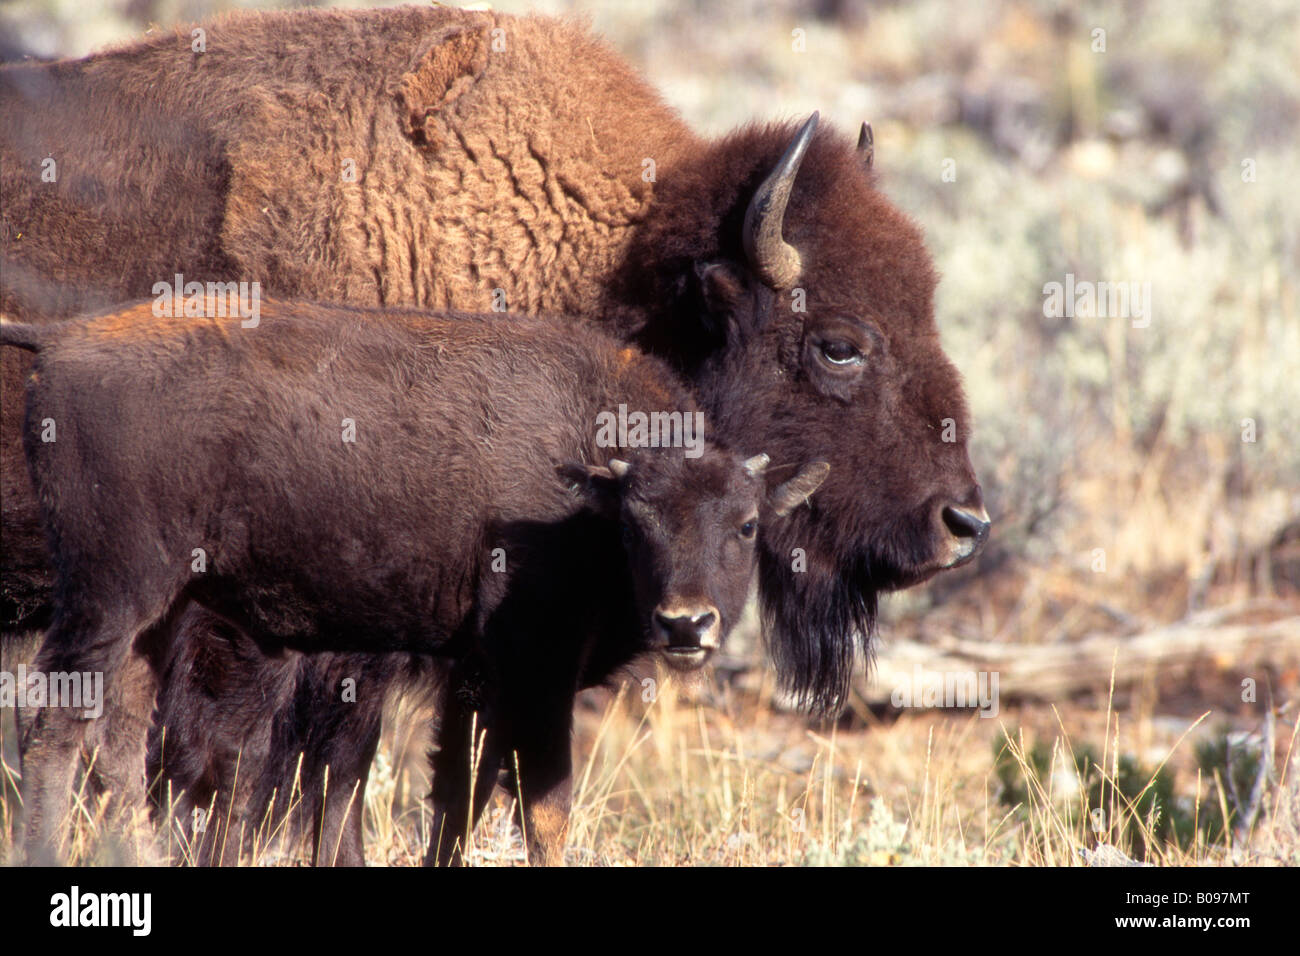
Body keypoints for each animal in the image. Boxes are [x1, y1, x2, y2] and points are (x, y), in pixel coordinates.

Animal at [2, 300, 832, 868]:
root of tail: (63, 338)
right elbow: (544, 805)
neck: (587, 474)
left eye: (747, 525)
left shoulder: (480, 679)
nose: (687, 624)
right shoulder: (535, 674)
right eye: (637, 523)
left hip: (157, 613)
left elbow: (461, 795)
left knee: (120, 738)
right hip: (110, 597)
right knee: (57, 726)